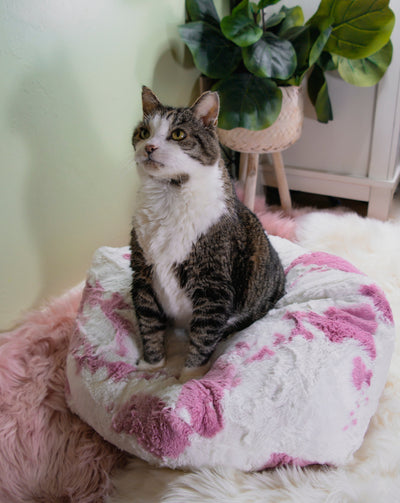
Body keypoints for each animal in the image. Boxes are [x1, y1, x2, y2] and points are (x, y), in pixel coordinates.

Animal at [130, 86, 284, 382]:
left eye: (178, 134)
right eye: (143, 132)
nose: (149, 147)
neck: (168, 195)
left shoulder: (213, 285)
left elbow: (202, 335)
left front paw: (188, 378)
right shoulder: (142, 275)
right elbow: (148, 323)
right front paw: (152, 365)